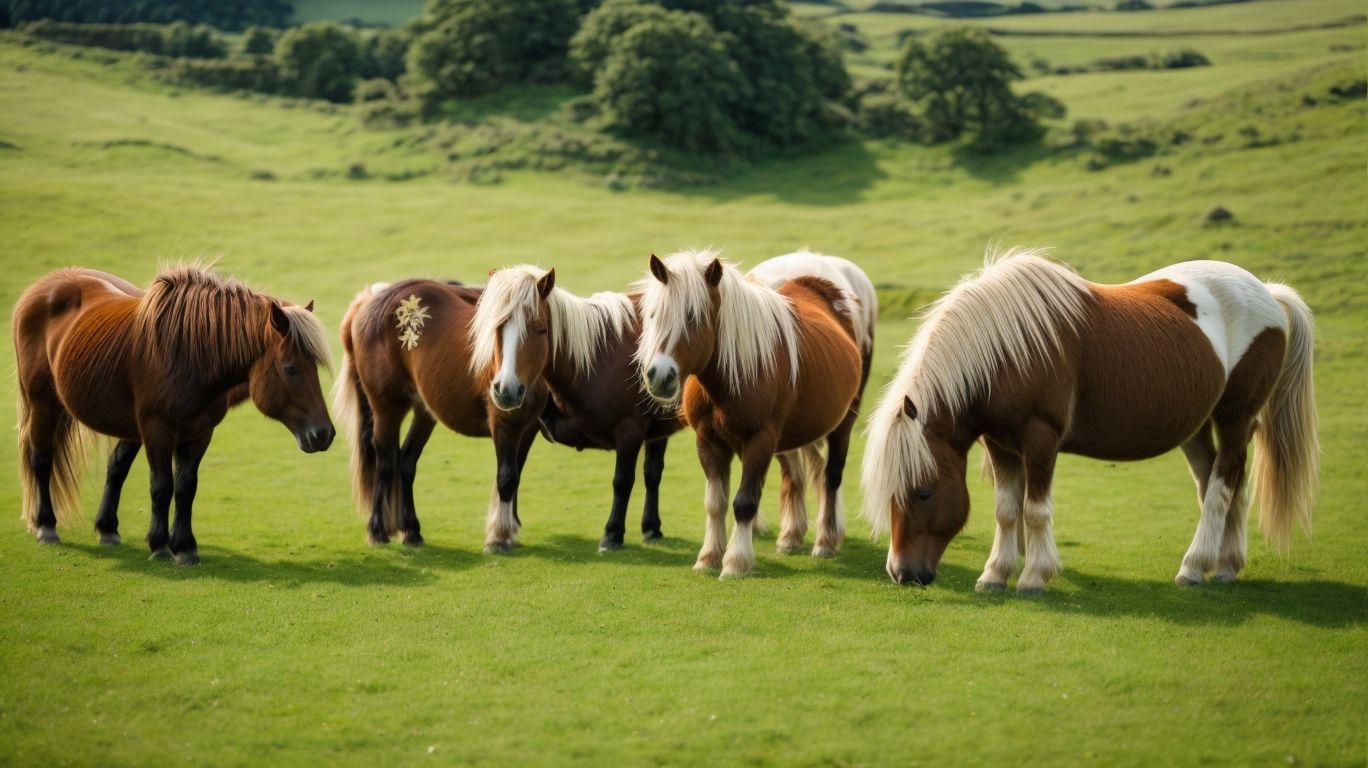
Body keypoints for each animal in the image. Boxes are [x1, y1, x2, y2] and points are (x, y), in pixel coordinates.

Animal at [13, 265, 335, 564]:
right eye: (291, 369)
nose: (324, 434)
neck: (190, 356)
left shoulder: (200, 432)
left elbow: (185, 487)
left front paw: (185, 547)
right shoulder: (157, 428)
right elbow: (162, 486)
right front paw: (160, 546)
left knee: (116, 467)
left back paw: (107, 529)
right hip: (44, 404)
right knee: (41, 459)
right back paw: (46, 526)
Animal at [335, 267, 561, 552]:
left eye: (540, 329)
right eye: (494, 328)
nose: (505, 390)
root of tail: (367, 302)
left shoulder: (528, 428)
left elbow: (517, 473)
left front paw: (510, 529)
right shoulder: (504, 425)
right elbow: (507, 476)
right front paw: (499, 536)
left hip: (423, 410)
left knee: (405, 462)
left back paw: (412, 531)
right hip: (386, 407)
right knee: (385, 463)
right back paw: (378, 530)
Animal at [636, 249, 864, 578]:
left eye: (693, 317)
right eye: (654, 314)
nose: (659, 376)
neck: (730, 377)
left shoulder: (760, 439)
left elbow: (744, 502)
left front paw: (735, 562)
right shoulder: (708, 441)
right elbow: (715, 503)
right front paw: (708, 557)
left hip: (843, 424)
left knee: (831, 477)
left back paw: (825, 541)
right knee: (801, 474)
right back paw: (792, 536)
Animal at [860, 249, 1318, 593]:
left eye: (922, 493)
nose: (902, 573)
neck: (1006, 350)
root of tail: (1267, 293)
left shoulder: (1040, 439)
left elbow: (1034, 510)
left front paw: (1033, 577)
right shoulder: (1000, 442)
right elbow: (1007, 510)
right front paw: (994, 575)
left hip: (1234, 418)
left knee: (1222, 489)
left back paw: (1194, 566)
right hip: (1198, 427)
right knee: (1222, 486)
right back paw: (1223, 565)